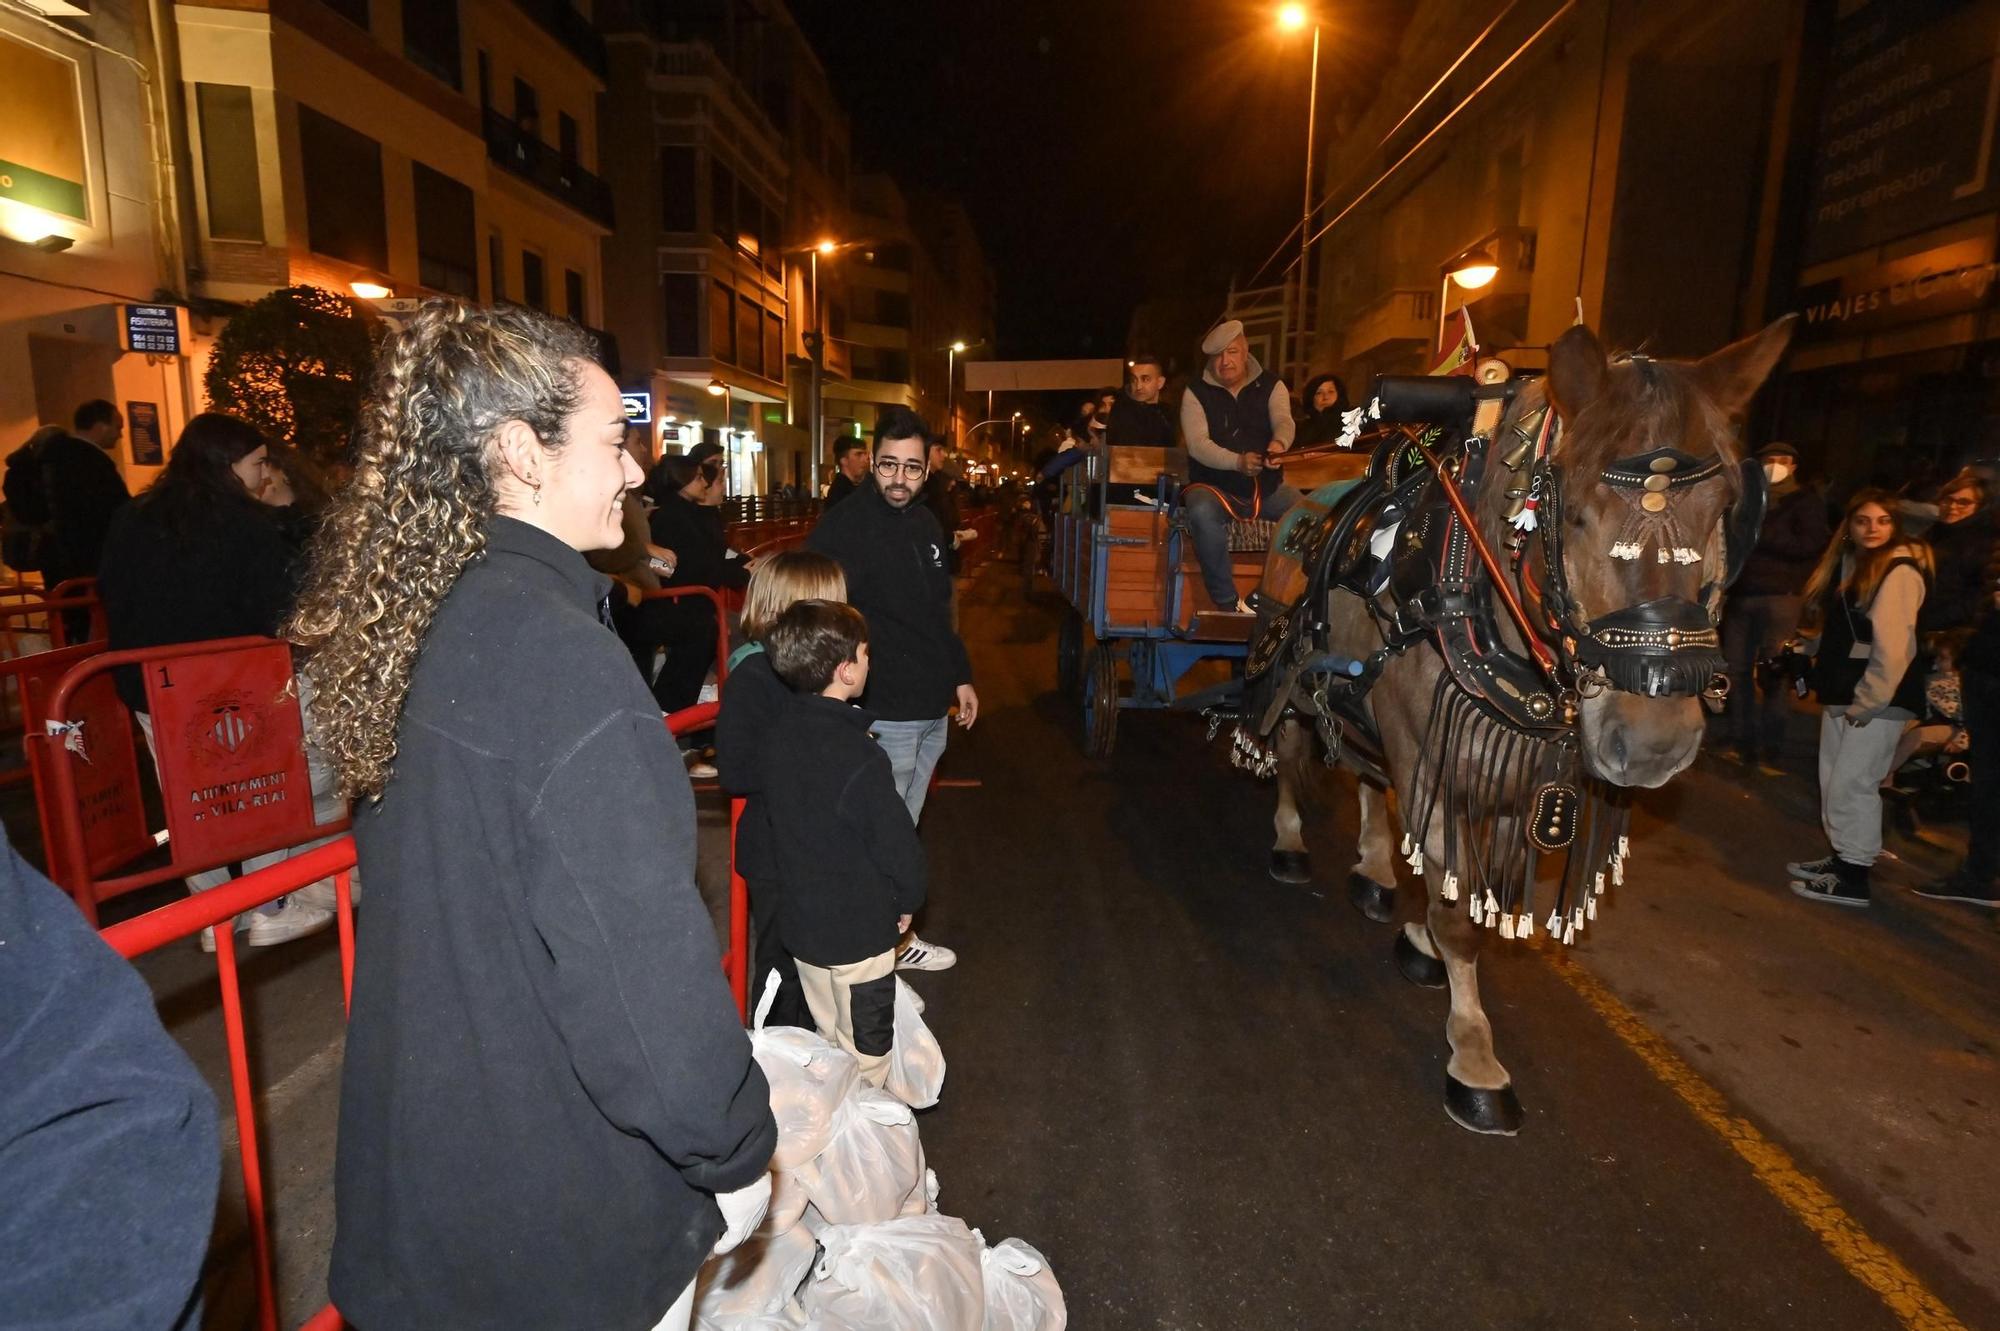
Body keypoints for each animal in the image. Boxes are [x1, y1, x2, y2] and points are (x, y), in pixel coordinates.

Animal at [1232, 313, 1800, 1127]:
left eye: (1726, 511)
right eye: (1576, 515)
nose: (1652, 743)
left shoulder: (1516, 777)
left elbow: (1488, 892)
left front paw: (1425, 945)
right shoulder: (1436, 765)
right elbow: (1459, 911)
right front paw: (1473, 1051)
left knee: (1368, 776)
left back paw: (1374, 867)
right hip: (1287, 672)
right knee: (1283, 747)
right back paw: (1288, 840)